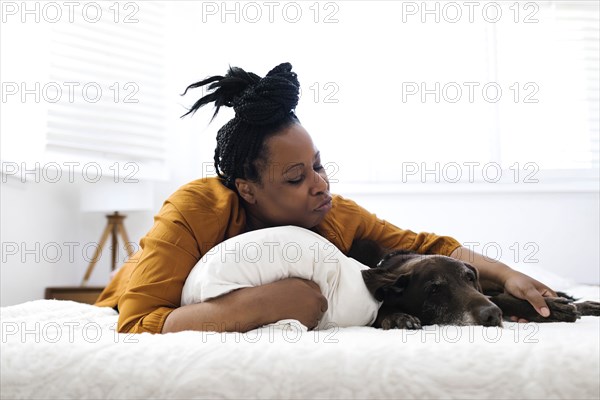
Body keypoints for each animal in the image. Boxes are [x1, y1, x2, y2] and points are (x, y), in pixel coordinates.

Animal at [346, 241, 600, 328]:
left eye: (469, 278)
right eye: (434, 289)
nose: (493, 315)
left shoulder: (485, 293)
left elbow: (508, 299)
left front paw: (553, 307)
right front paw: (396, 317)